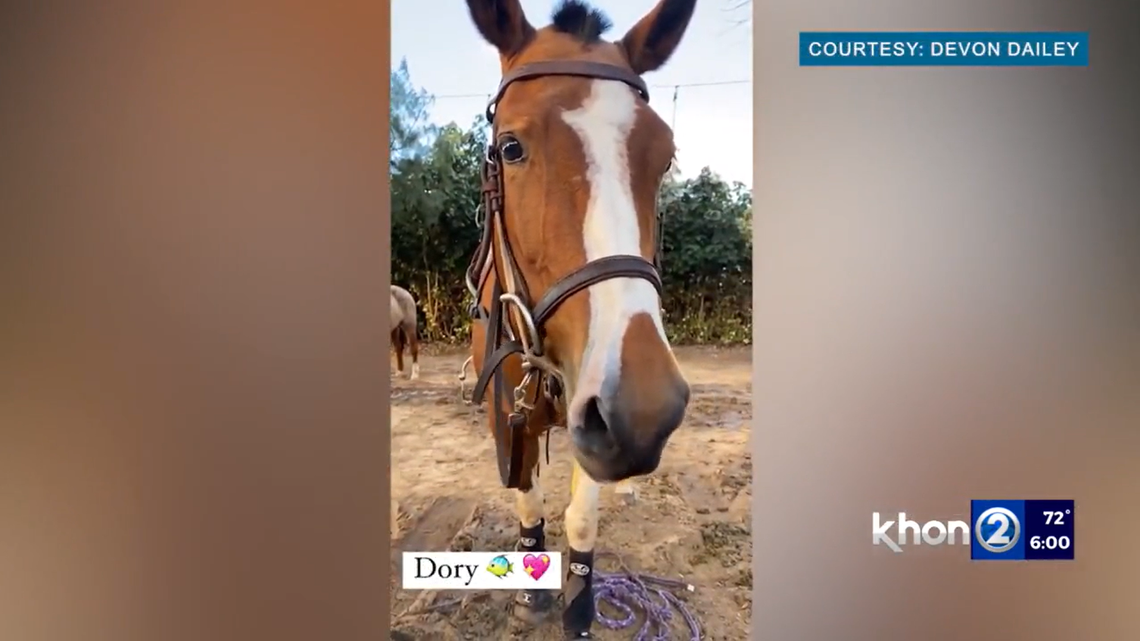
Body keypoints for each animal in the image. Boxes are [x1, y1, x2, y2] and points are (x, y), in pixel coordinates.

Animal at [459, 0, 695, 636]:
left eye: (666, 156)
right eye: (510, 148)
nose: (645, 409)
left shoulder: (594, 416)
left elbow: (582, 515)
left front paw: (580, 606)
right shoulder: (508, 416)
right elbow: (527, 496)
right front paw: (530, 590)